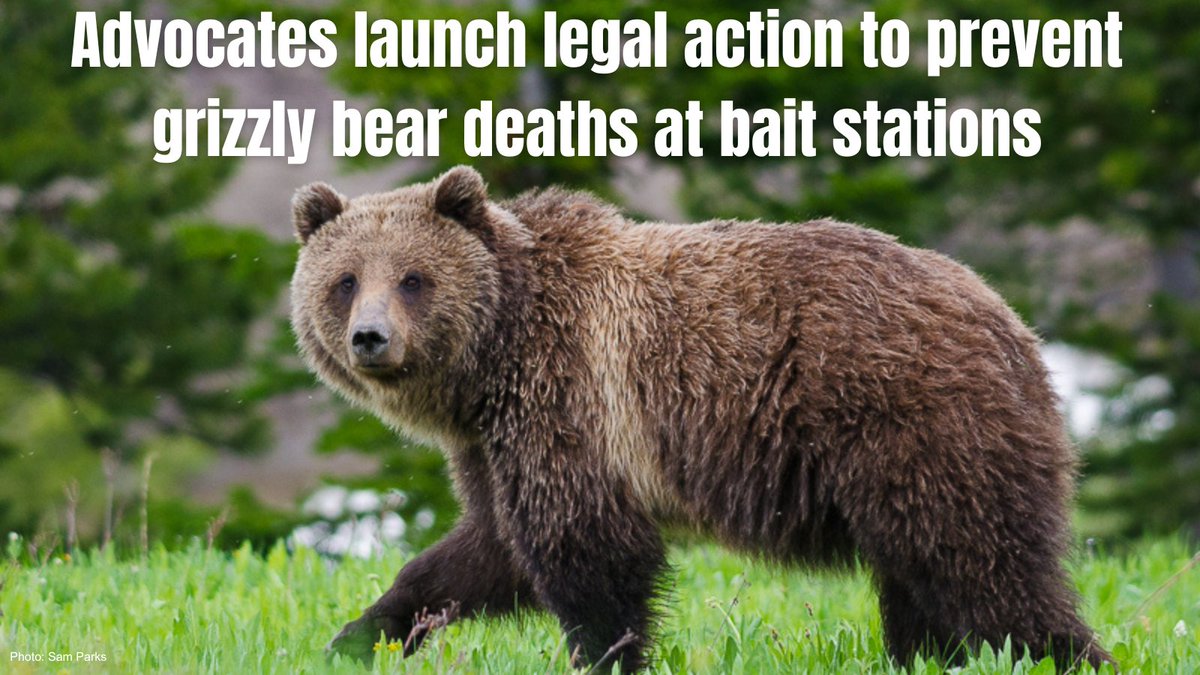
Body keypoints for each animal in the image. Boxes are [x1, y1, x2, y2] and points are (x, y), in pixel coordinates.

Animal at [289, 166, 1111, 672]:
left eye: (413, 278)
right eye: (345, 281)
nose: (371, 338)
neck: (494, 357)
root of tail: (1013, 325)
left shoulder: (574, 400)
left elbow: (588, 557)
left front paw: (608, 653)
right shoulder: (497, 444)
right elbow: (479, 554)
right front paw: (356, 636)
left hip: (918, 425)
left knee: (986, 570)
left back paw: (1064, 652)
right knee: (923, 583)